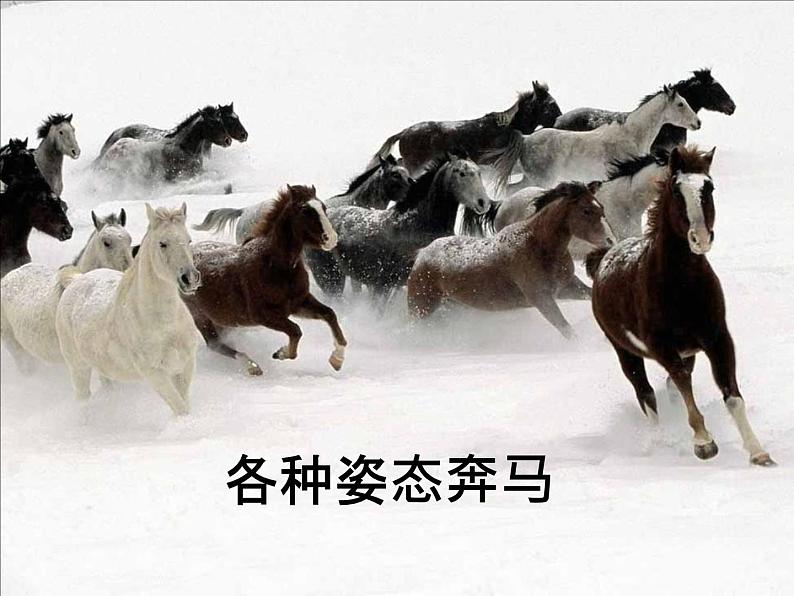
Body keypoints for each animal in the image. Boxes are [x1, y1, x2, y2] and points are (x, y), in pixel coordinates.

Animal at [55, 204, 201, 415]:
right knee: (82, 397)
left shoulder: (185, 365)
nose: (190, 278)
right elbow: (180, 409)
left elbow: (184, 405)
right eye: (162, 243)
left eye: (189, 240)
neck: (166, 325)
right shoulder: (155, 374)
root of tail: (76, 280)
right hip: (78, 367)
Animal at [181, 185, 346, 376]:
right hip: (200, 316)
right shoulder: (264, 315)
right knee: (214, 344)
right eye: (305, 210)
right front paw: (281, 353)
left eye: (323, 208)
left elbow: (329, 314)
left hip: (221, 319)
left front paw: (337, 359)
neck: (276, 266)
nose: (332, 238)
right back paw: (252, 366)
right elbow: (296, 331)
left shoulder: (299, 303)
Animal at [306, 155, 491, 302]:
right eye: (461, 173)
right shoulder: (386, 285)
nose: (483, 202)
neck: (416, 225)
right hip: (330, 280)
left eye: (479, 173)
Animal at [408, 182, 614, 336]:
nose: (610, 240)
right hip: (421, 307)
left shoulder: (567, 288)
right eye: (586, 210)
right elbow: (566, 330)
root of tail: (422, 254)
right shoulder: (542, 299)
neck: (538, 245)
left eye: (601, 207)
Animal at [586, 146, 774, 466]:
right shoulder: (662, 346)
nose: (701, 239)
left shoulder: (717, 338)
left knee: (668, 389)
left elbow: (731, 395)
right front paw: (704, 443)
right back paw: (660, 441)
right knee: (646, 394)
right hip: (625, 351)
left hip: (688, 352)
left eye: (709, 187)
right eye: (676, 191)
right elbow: (683, 384)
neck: (683, 287)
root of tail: (603, 258)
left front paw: (758, 452)